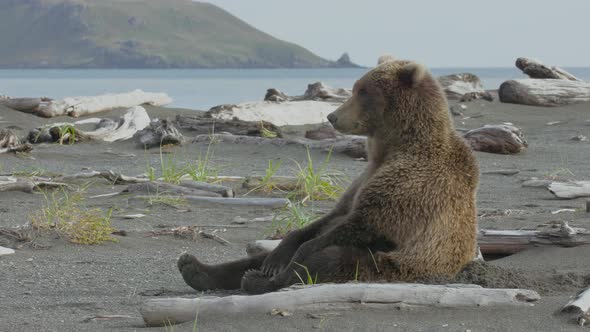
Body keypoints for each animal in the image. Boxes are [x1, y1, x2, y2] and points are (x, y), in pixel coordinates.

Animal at [177, 59, 480, 294]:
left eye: (363, 91)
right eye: (356, 88)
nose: (333, 116)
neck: (394, 147)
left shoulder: (413, 183)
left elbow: (362, 223)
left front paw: (292, 259)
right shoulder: (364, 178)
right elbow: (328, 218)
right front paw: (278, 254)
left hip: (393, 264)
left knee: (331, 261)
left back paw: (259, 281)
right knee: (253, 259)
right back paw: (196, 268)